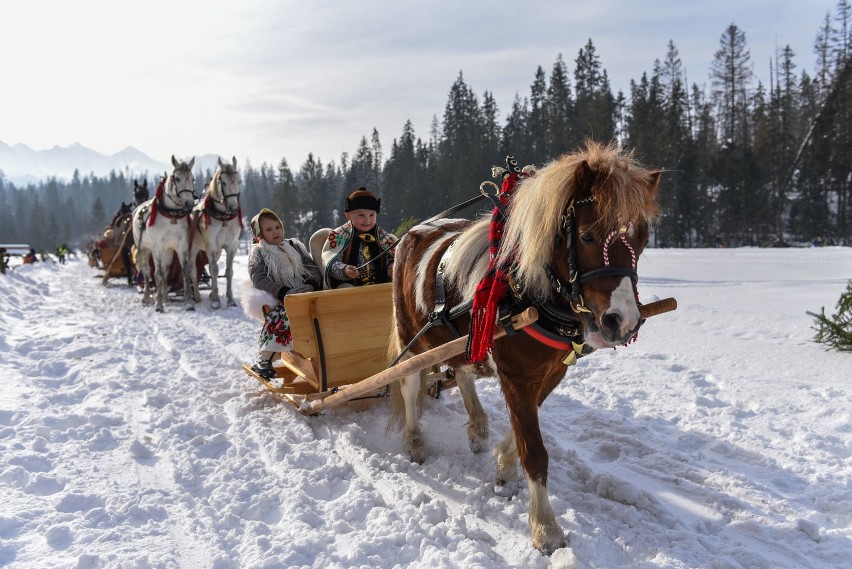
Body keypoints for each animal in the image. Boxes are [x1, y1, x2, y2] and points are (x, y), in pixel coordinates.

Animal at [131, 155, 198, 312]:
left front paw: (189, 302)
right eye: (177, 178)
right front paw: (158, 304)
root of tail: (137, 209)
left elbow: (185, 271)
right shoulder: (157, 247)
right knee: (147, 271)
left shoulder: (181, 245)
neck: (171, 216)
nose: (189, 203)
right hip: (144, 248)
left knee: (166, 271)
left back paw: (165, 297)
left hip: (168, 251)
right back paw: (147, 297)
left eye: (192, 179)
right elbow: (158, 274)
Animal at [191, 155, 243, 308]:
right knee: (192, 271)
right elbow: (214, 270)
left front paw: (230, 299)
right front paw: (215, 299)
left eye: (239, 181)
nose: (233, 208)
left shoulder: (231, 246)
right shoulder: (211, 246)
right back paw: (197, 295)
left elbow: (228, 271)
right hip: (192, 249)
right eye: (223, 182)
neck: (223, 217)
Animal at [390, 142, 664, 556]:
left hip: (458, 339)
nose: (624, 322)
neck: (528, 290)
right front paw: (546, 528)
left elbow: (523, 428)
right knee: (409, 384)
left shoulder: (550, 371)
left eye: (644, 239)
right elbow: (534, 451)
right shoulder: (516, 375)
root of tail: (413, 232)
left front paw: (504, 468)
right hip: (411, 334)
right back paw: (415, 441)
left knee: (463, 369)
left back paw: (477, 428)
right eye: (587, 236)